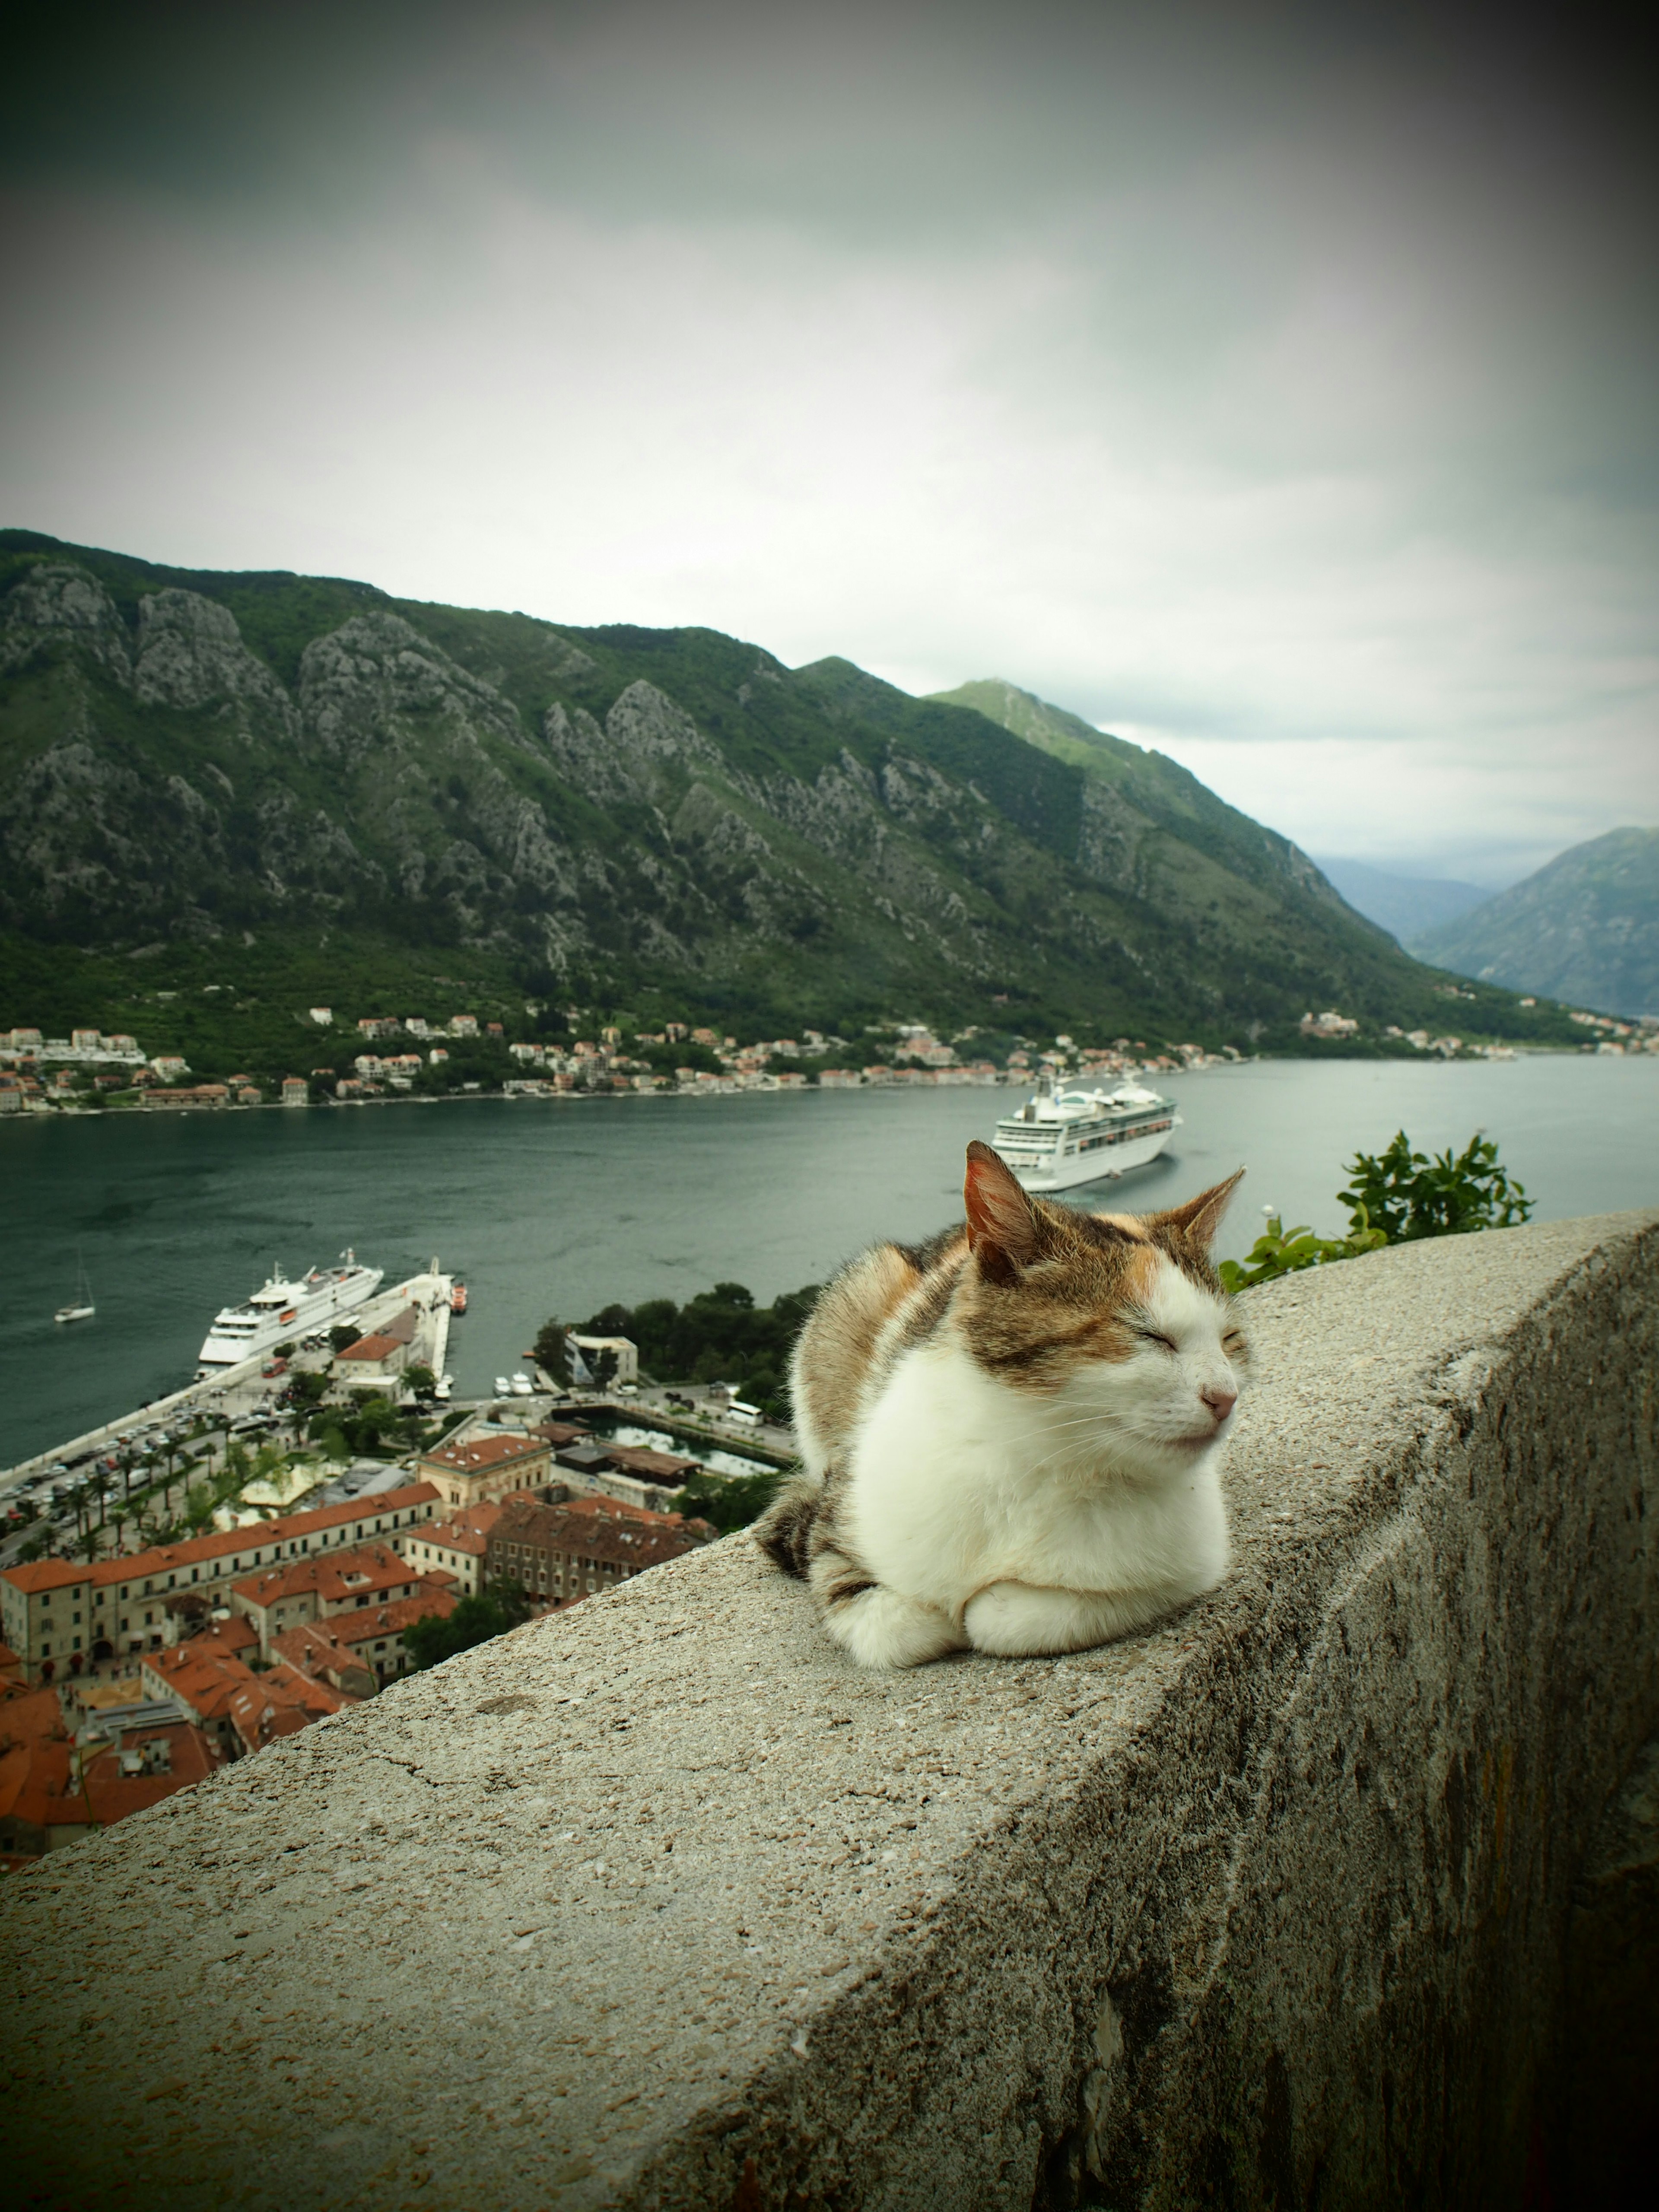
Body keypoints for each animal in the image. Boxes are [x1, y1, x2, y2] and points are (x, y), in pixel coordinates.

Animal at [752, 1141, 1247, 1663]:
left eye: (1230, 1339)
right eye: (1149, 1335)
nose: (1226, 1397)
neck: (1045, 1458)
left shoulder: (1185, 1570)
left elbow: (1011, 1617)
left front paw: (990, 1605)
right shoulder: (840, 1518)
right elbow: (897, 1624)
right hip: (858, 1293)